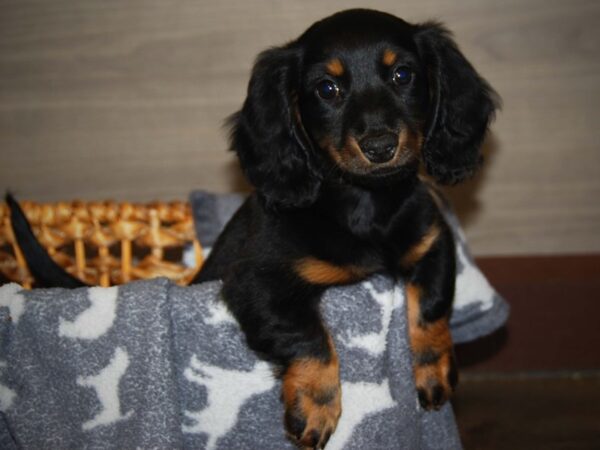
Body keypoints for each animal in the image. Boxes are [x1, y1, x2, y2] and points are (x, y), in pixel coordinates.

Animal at [8, 8, 496, 448]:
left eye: (403, 75)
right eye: (327, 88)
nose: (380, 146)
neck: (365, 203)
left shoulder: (432, 244)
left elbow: (430, 306)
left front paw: (434, 373)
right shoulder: (258, 284)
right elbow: (310, 338)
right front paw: (316, 407)